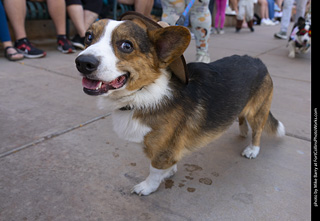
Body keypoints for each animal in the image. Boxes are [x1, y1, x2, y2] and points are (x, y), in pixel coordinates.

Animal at [75, 11, 284, 195]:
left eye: (126, 46)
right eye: (88, 37)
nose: (82, 62)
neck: (144, 92)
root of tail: (259, 62)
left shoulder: (161, 150)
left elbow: (154, 171)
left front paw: (147, 187)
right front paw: (169, 172)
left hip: (257, 112)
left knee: (257, 131)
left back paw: (252, 149)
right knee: (242, 119)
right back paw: (242, 132)